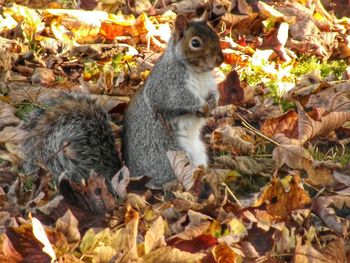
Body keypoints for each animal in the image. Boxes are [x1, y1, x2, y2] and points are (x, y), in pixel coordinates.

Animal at [121, 14, 223, 189]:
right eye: (195, 43)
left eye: (215, 34)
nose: (220, 59)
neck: (198, 72)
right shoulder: (167, 86)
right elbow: (179, 99)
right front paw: (203, 106)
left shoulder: (209, 84)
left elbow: (214, 92)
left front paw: (214, 102)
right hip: (168, 155)